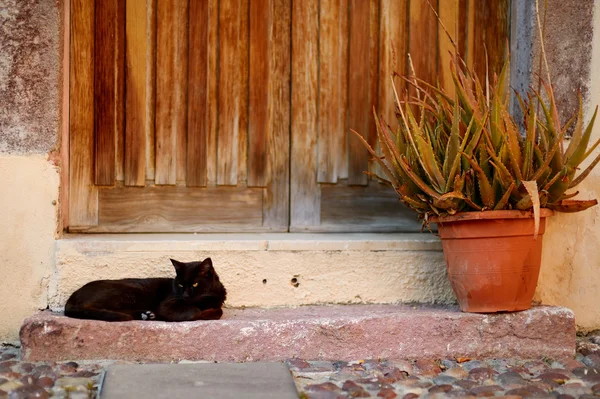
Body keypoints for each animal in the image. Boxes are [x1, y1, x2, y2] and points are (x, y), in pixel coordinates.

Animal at [64, 258, 226, 324]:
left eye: (195, 284)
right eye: (180, 285)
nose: (185, 295)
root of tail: (73, 295)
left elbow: (218, 310)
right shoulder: (167, 304)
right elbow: (195, 311)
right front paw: (201, 312)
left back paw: (146, 314)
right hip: (127, 291)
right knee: (89, 307)